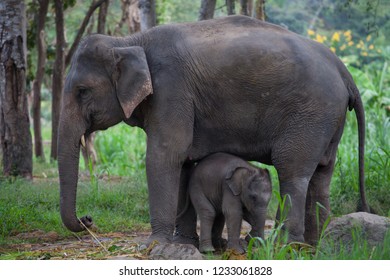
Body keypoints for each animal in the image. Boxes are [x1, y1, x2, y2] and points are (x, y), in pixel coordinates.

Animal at [58, 16, 368, 246]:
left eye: (82, 92)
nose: (88, 219)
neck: (128, 42)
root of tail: (344, 71)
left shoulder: (171, 89)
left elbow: (165, 155)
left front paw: (154, 245)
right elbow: (183, 162)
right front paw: (185, 243)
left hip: (310, 112)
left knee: (293, 171)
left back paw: (285, 245)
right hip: (329, 120)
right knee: (322, 174)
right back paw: (316, 245)